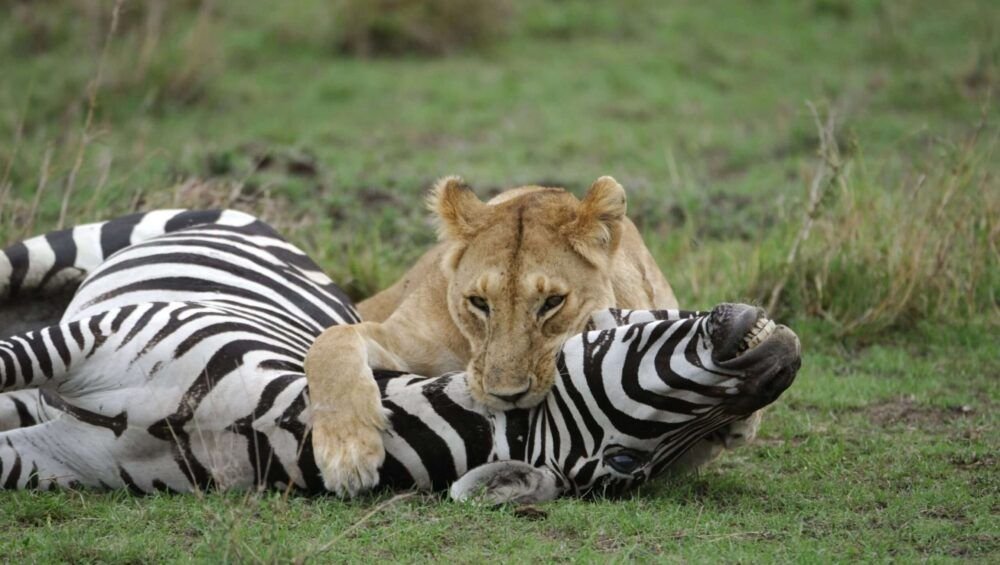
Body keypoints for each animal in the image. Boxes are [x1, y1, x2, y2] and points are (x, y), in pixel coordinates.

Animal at [0, 209, 796, 500]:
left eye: (629, 469)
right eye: (615, 324)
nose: (781, 364)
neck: (257, 427)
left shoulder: (54, 459)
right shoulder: (90, 338)